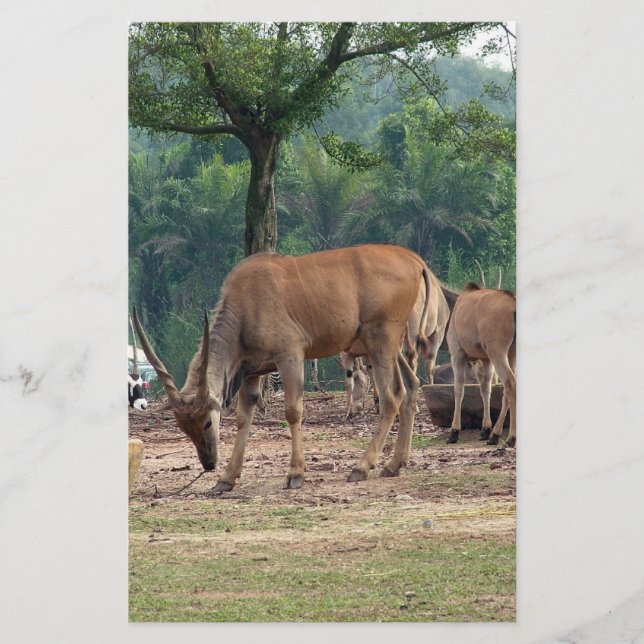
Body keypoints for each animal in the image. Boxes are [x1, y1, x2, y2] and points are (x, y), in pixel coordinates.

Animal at [133, 244, 431, 493]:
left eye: (207, 421)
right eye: (183, 428)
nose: (208, 463)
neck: (246, 307)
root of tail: (414, 260)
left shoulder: (291, 356)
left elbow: (292, 411)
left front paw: (296, 474)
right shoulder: (251, 372)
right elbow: (244, 417)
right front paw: (226, 479)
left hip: (380, 341)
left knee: (391, 398)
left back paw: (362, 467)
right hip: (391, 346)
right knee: (410, 387)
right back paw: (394, 464)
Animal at [445, 282, 516, 446]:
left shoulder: (457, 355)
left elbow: (459, 389)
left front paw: (454, 431)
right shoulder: (486, 360)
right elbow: (485, 389)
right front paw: (485, 429)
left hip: (498, 352)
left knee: (510, 383)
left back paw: (511, 438)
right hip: (511, 353)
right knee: (507, 387)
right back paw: (495, 435)